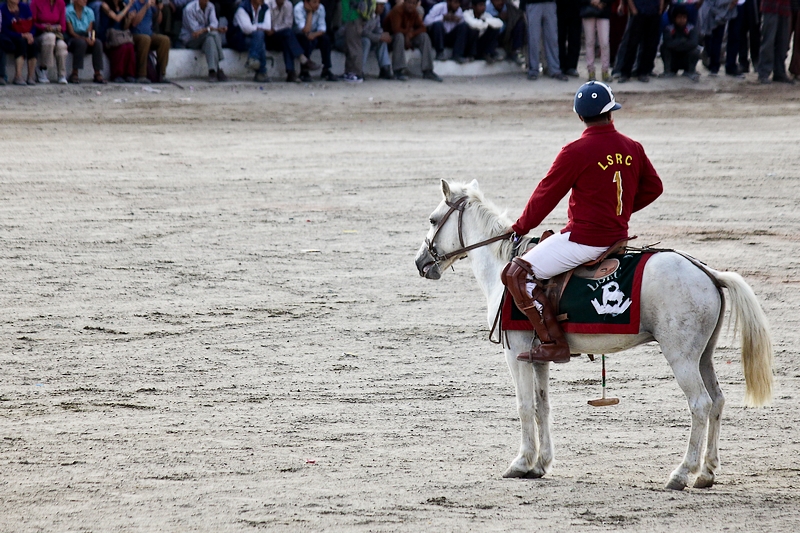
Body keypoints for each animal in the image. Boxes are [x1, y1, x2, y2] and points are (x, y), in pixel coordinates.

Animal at [416, 180, 772, 490]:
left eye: (433, 220)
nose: (420, 262)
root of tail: (707, 272)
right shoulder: (538, 356)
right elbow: (542, 406)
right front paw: (541, 464)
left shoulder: (515, 353)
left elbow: (524, 405)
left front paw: (522, 462)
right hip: (703, 356)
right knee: (717, 401)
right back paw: (707, 472)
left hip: (681, 357)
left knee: (700, 404)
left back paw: (682, 472)